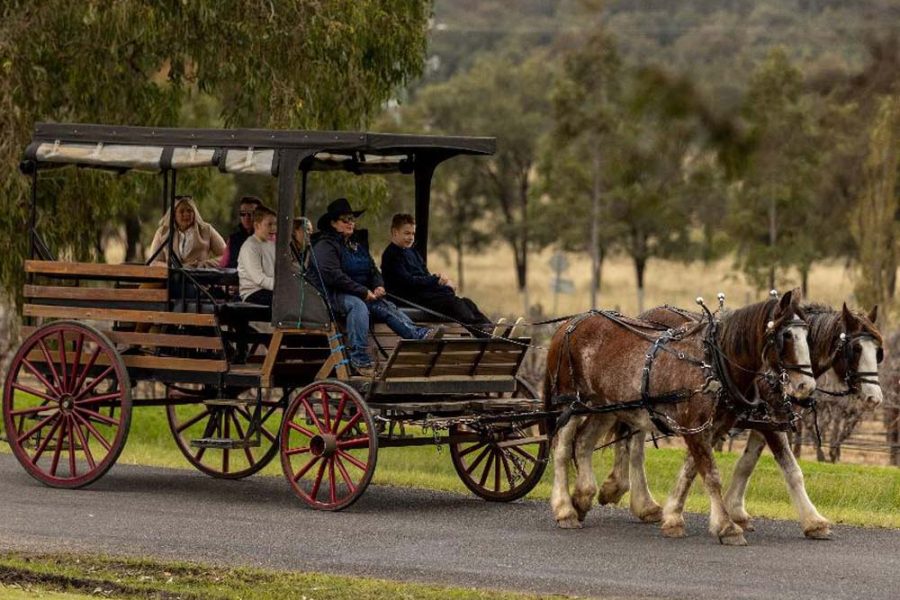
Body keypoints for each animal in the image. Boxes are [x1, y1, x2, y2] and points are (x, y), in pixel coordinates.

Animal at [544, 290, 820, 544]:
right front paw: (727, 527)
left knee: (584, 443)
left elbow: (691, 471)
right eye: (786, 336)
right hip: (570, 403)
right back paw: (565, 509)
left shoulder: (711, 428)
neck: (714, 364)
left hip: (605, 406)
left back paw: (583, 498)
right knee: (562, 449)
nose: (806, 386)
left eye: (808, 336)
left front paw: (674, 518)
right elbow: (711, 475)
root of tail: (570, 323)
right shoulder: (696, 426)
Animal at [596, 300, 880, 540]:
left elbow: (742, 463)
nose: (874, 397)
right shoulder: (766, 424)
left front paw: (733, 511)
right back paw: (634, 497)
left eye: (878, 351)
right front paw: (813, 521)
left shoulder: (761, 422)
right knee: (633, 444)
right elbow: (791, 470)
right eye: (855, 349)